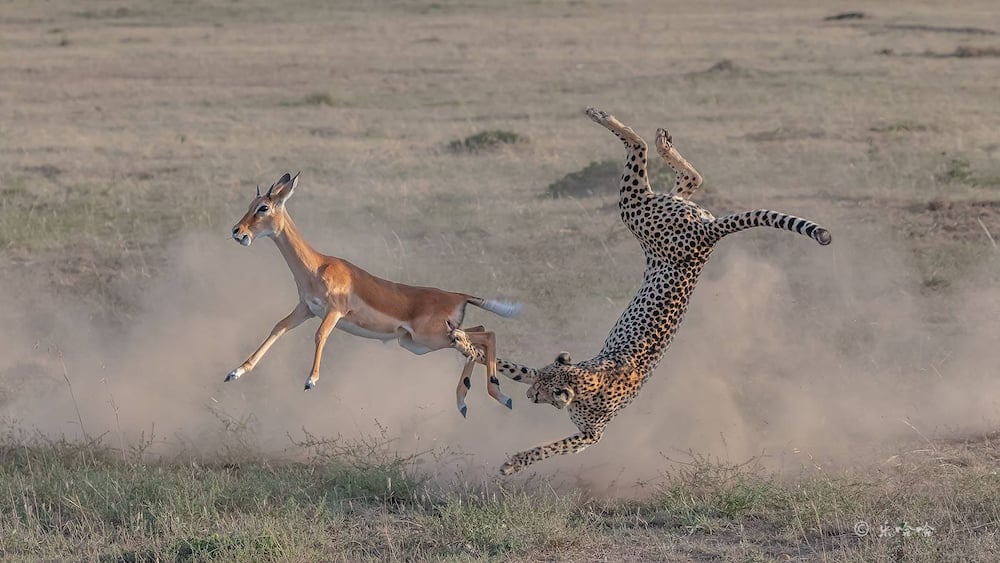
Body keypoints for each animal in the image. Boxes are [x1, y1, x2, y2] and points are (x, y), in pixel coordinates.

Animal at [228, 174, 524, 416]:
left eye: (264, 207)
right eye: (252, 203)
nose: (237, 231)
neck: (317, 265)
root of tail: (456, 295)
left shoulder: (334, 311)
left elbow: (320, 335)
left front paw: (311, 380)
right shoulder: (306, 309)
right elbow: (277, 328)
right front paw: (236, 371)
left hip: (432, 338)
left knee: (487, 335)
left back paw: (498, 396)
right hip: (420, 342)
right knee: (480, 335)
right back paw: (469, 401)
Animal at [450, 107, 832, 476]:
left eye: (542, 391)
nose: (529, 396)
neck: (585, 383)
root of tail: (710, 234)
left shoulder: (590, 436)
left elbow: (547, 448)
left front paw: (514, 463)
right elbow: (501, 361)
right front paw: (463, 342)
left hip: (639, 214)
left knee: (641, 153)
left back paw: (607, 119)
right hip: (665, 211)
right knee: (689, 179)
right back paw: (660, 140)